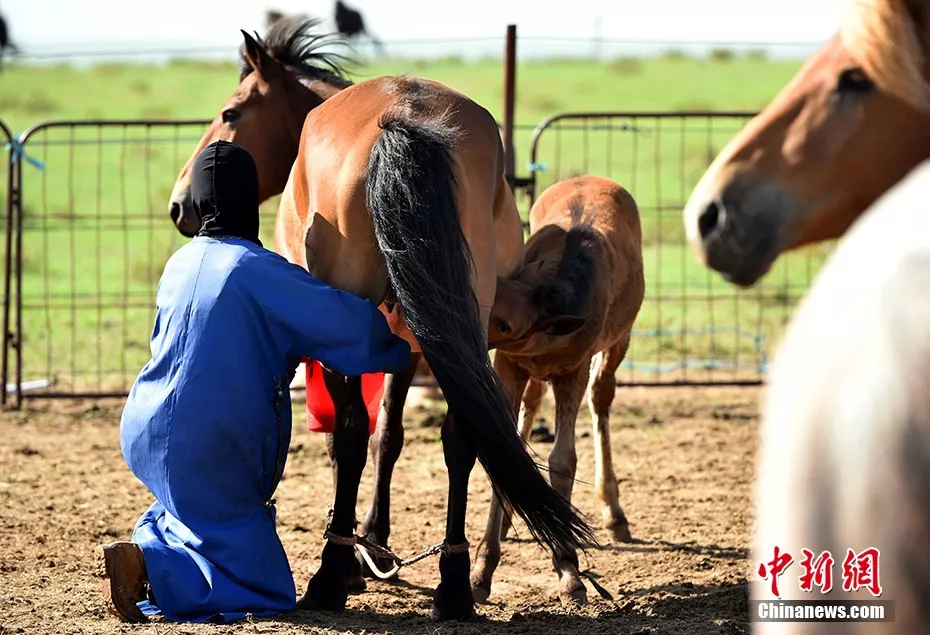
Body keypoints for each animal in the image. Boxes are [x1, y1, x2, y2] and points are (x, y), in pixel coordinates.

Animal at [276, 73, 596, 620]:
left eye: (233, 111)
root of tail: (400, 117)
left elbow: (363, 439)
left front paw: (362, 553)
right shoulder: (414, 346)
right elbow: (392, 436)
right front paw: (376, 544)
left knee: (352, 432)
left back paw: (330, 577)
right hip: (457, 332)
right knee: (459, 437)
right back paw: (454, 585)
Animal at [468, 174, 640, 608]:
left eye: (507, 323)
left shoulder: (571, 372)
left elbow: (563, 460)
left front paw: (568, 570)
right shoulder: (508, 365)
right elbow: (505, 452)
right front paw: (482, 569)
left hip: (619, 340)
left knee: (601, 398)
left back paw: (614, 513)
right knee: (531, 407)